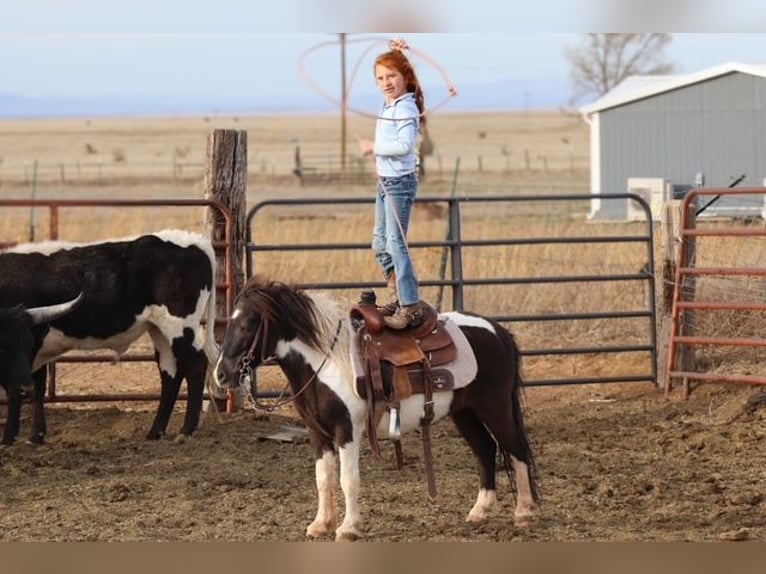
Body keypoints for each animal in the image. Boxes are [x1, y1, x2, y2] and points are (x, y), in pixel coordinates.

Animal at [212, 275, 540, 541]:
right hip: (465, 413)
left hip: (495, 407)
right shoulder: (318, 432)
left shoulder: (347, 430)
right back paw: (479, 512)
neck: (327, 362)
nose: (221, 374)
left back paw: (524, 513)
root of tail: (499, 331)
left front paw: (347, 528)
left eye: (246, 324)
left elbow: (348, 479)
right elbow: (323, 478)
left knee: (516, 450)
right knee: (486, 450)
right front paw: (321, 524)